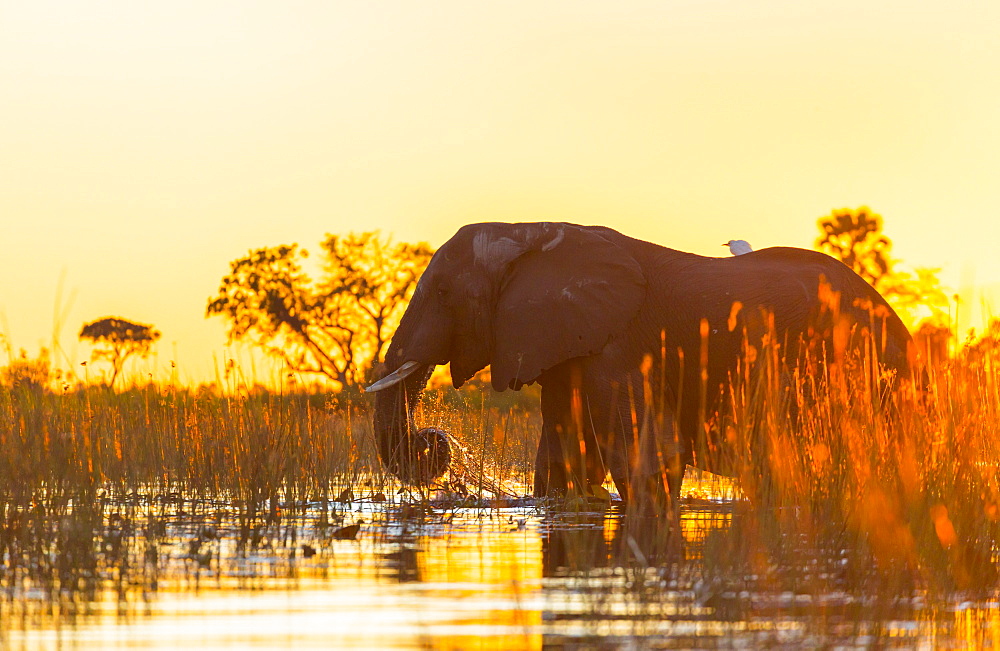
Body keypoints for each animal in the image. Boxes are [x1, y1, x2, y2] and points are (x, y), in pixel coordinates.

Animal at [366, 222, 916, 506]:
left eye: (443, 292)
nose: (434, 440)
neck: (532, 231)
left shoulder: (619, 345)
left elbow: (645, 460)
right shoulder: (568, 342)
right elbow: (564, 460)